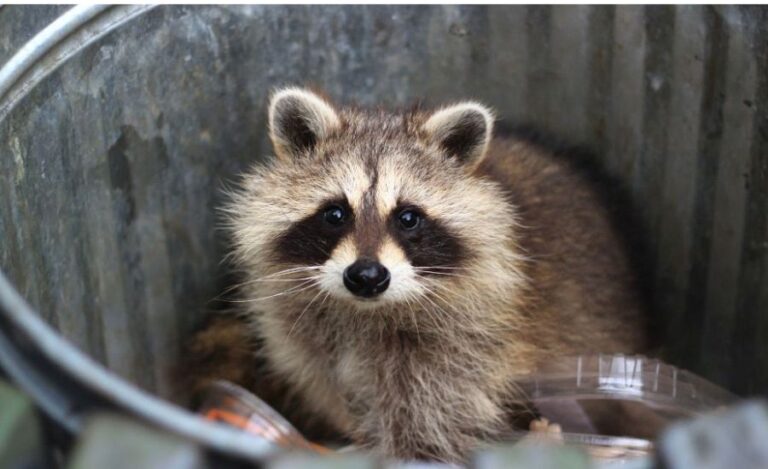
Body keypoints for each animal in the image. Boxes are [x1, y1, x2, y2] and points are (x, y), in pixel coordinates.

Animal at [188, 87, 648, 460]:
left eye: (408, 218)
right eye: (335, 214)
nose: (367, 276)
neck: (366, 312)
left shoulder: (465, 348)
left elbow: (429, 425)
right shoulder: (303, 335)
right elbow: (327, 384)